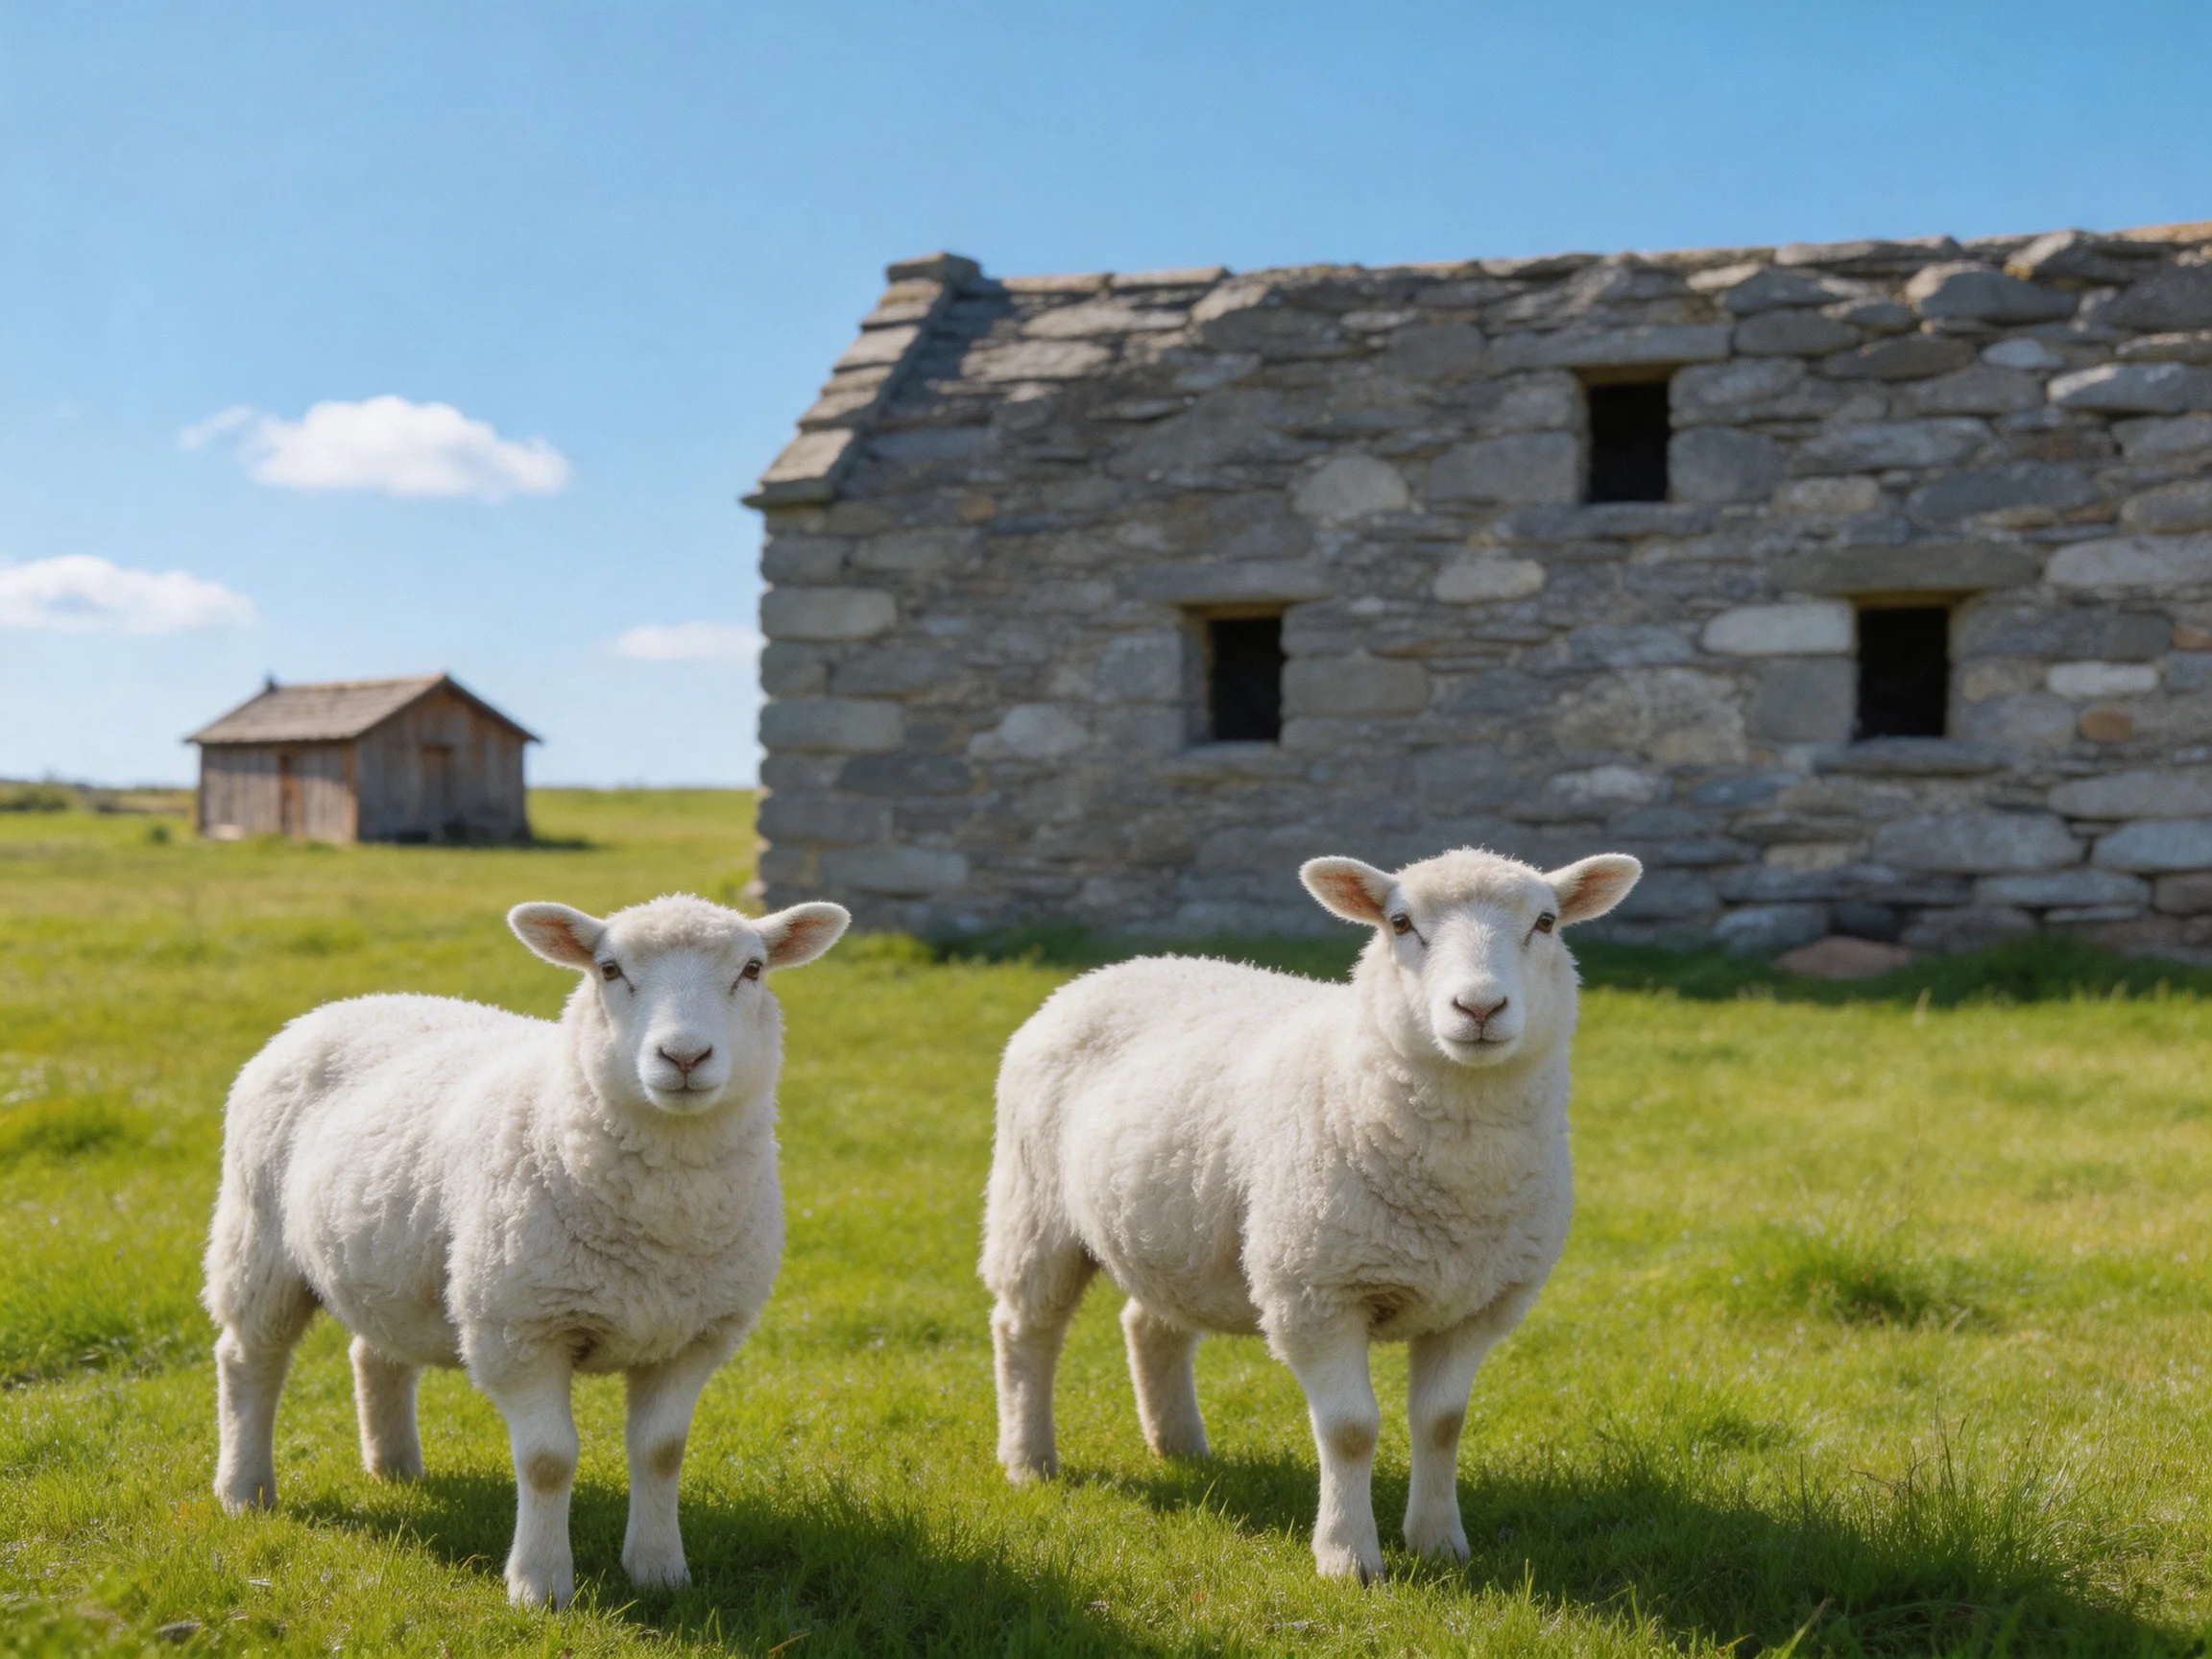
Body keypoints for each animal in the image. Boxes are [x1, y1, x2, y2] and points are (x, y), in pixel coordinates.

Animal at [202, 891, 849, 1608]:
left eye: (753, 969)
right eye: (609, 969)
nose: (684, 1057)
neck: (660, 1224)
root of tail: (345, 1004)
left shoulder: (693, 1336)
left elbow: (662, 1451)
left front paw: (660, 1571)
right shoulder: (519, 1327)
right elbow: (547, 1461)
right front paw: (540, 1585)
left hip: (392, 1262)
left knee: (376, 1353)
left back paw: (396, 1469)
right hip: (257, 1241)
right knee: (248, 1360)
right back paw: (244, 1490)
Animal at [980, 846, 1641, 1581]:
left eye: (1546, 922)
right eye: (1400, 922)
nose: (1479, 1005)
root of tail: (1110, 970)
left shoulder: (1476, 1305)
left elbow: (1442, 1423)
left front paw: (1440, 1543)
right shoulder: (1314, 1292)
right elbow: (1350, 1430)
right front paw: (1348, 1558)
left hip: (1176, 1229)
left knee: (1151, 1325)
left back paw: (1180, 1446)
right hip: (1033, 1207)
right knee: (1024, 1329)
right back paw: (1028, 1461)